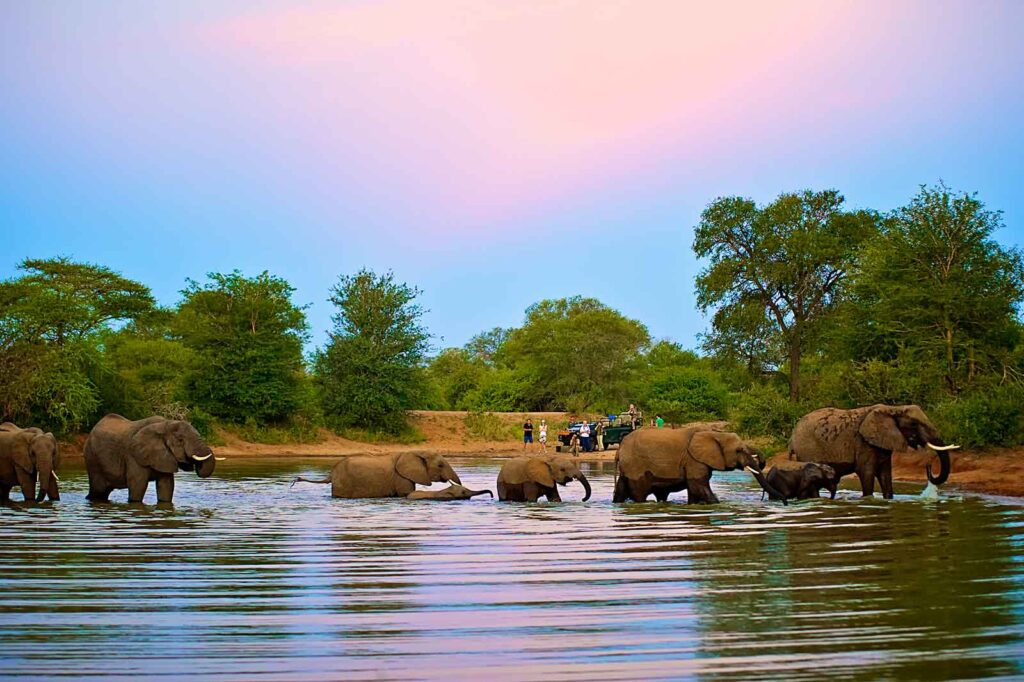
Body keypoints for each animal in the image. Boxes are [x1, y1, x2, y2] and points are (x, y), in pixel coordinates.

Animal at [83, 411, 218, 501]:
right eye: (180, 440)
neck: (165, 424)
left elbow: (166, 486)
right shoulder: (133, 455)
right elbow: (138, 486)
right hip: (92, 458)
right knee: (98, 490)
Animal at [610, 428, 770, 501]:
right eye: (738, 450)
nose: (762, 465)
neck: (713, 433)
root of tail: (619, 449)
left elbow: (694, 490)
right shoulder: (693, 460)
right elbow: (698, 486)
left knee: (620, 491)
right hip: (635, 466)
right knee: (639, 493)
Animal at [786, 401, 954, 497]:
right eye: (914, 424)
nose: (929, 466)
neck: (893, 409)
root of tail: (792, 437)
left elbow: (886, 476)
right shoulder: (863, 443)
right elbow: (866, 473)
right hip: (806, 451)